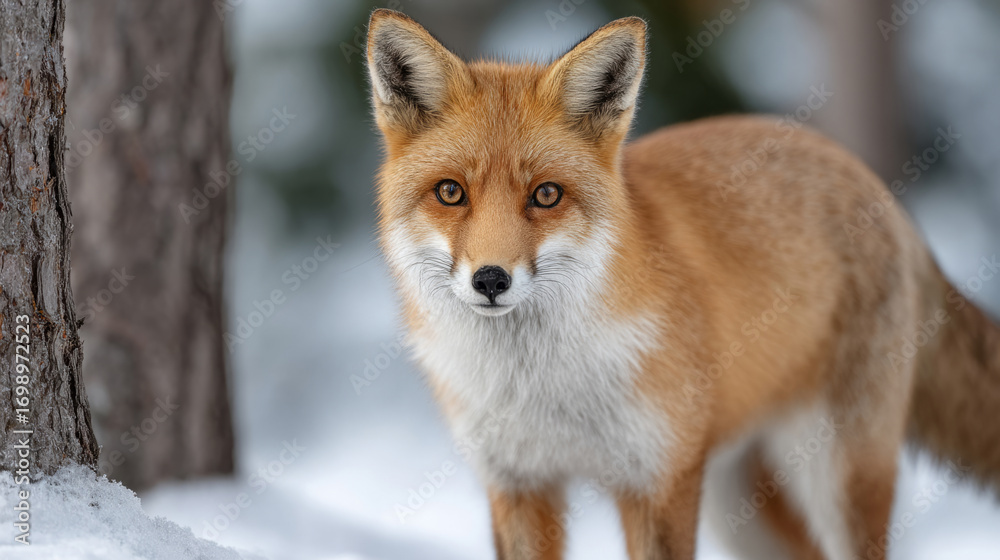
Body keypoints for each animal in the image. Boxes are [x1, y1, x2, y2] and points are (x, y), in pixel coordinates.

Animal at [366, 9, 1000, 560]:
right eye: (451, 192)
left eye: (545, 195)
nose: (491, 279)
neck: (544, 386)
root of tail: (876, 186)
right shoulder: (519, 484)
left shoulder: (658, 481)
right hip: (738, 508)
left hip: (835, 477)